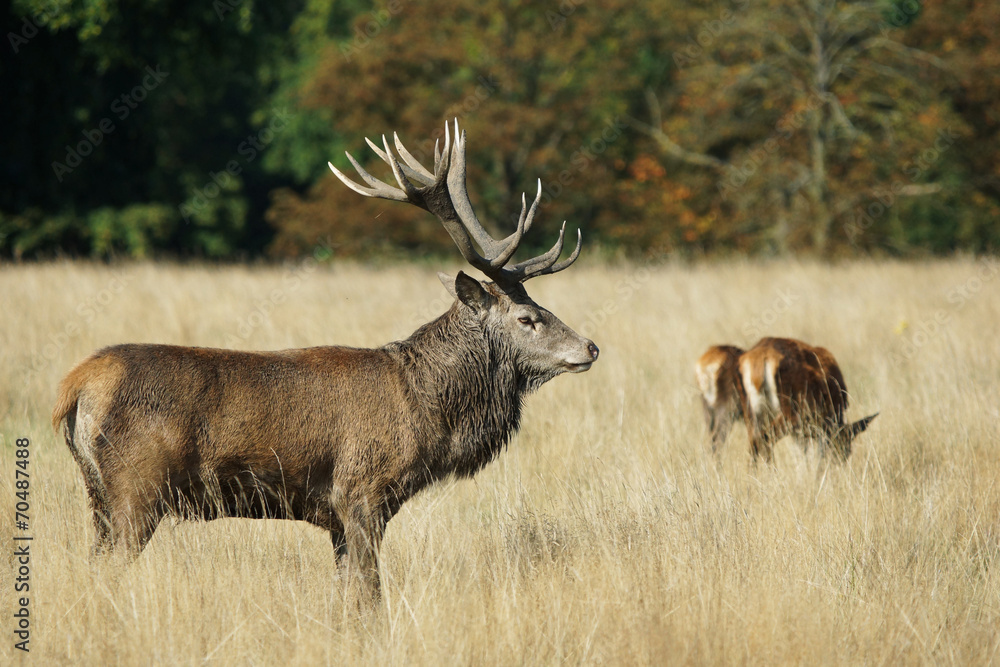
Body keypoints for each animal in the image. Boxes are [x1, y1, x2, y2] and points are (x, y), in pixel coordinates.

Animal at [51, 120, 599, 607]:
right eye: (528, 318)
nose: (591, 347)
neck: (428, 411)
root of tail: (74, 389)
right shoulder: (362, 493)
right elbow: (369, 595)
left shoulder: (338, 518)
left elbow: (345, 596)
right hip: (136, 490)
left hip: (99, 497)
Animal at [737, 337, 877, 463]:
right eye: (846, 448)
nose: (840, 462)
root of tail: (761, 358)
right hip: (791, 414)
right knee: (765, 438)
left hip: (752, 412)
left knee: (754, 443)